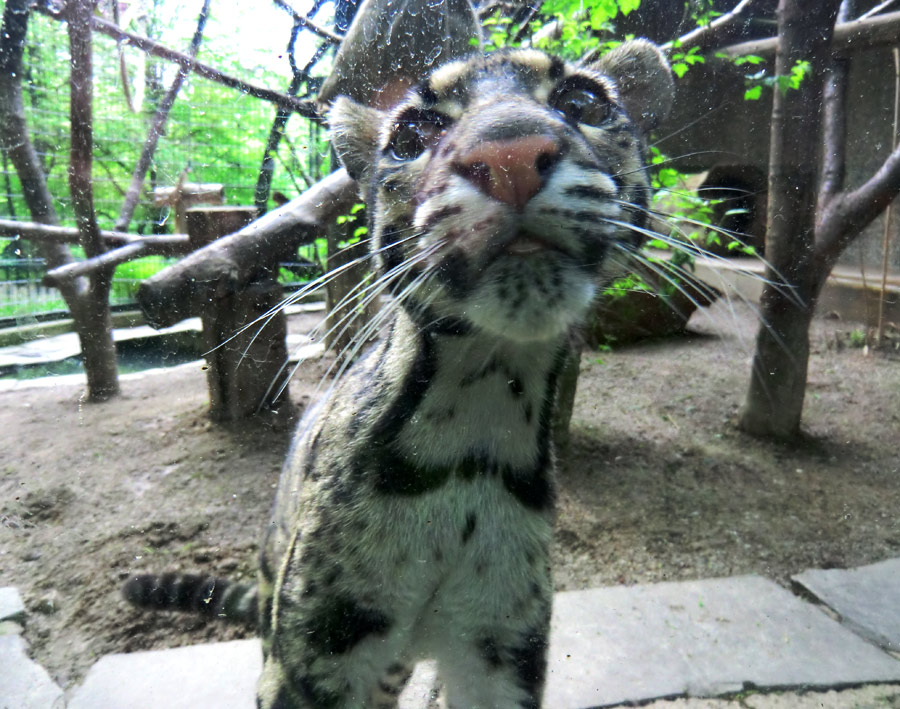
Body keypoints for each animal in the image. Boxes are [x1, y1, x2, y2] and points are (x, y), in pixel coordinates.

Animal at [126, 40, 676, 708]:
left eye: (584, 102)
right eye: (413, 134)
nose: (510, 155)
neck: (478, 419)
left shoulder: (501, 651)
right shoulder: (313, 653)